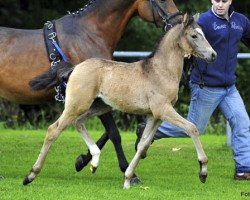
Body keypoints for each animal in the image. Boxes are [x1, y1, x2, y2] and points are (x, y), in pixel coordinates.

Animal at [0, 0, 181, 181]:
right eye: (162, 0)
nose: (178, 22)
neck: (90, 35)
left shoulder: (103, 100)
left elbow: (106, 132)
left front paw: (82, 161)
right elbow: (114, 133)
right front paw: (128, 171)